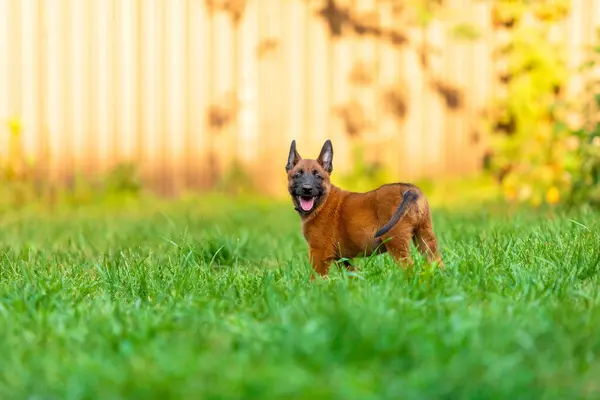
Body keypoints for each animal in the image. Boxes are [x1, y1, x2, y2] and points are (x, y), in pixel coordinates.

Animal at [288, 139, 442, 276]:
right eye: (297, 175)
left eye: (318, 176)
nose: (307, 189)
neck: (321, 202)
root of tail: (410, 190)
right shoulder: (344, 259)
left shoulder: (319, 253)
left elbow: (315, 279)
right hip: (425, 238)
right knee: (437, 263)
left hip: (396, 242)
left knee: (410, 269)